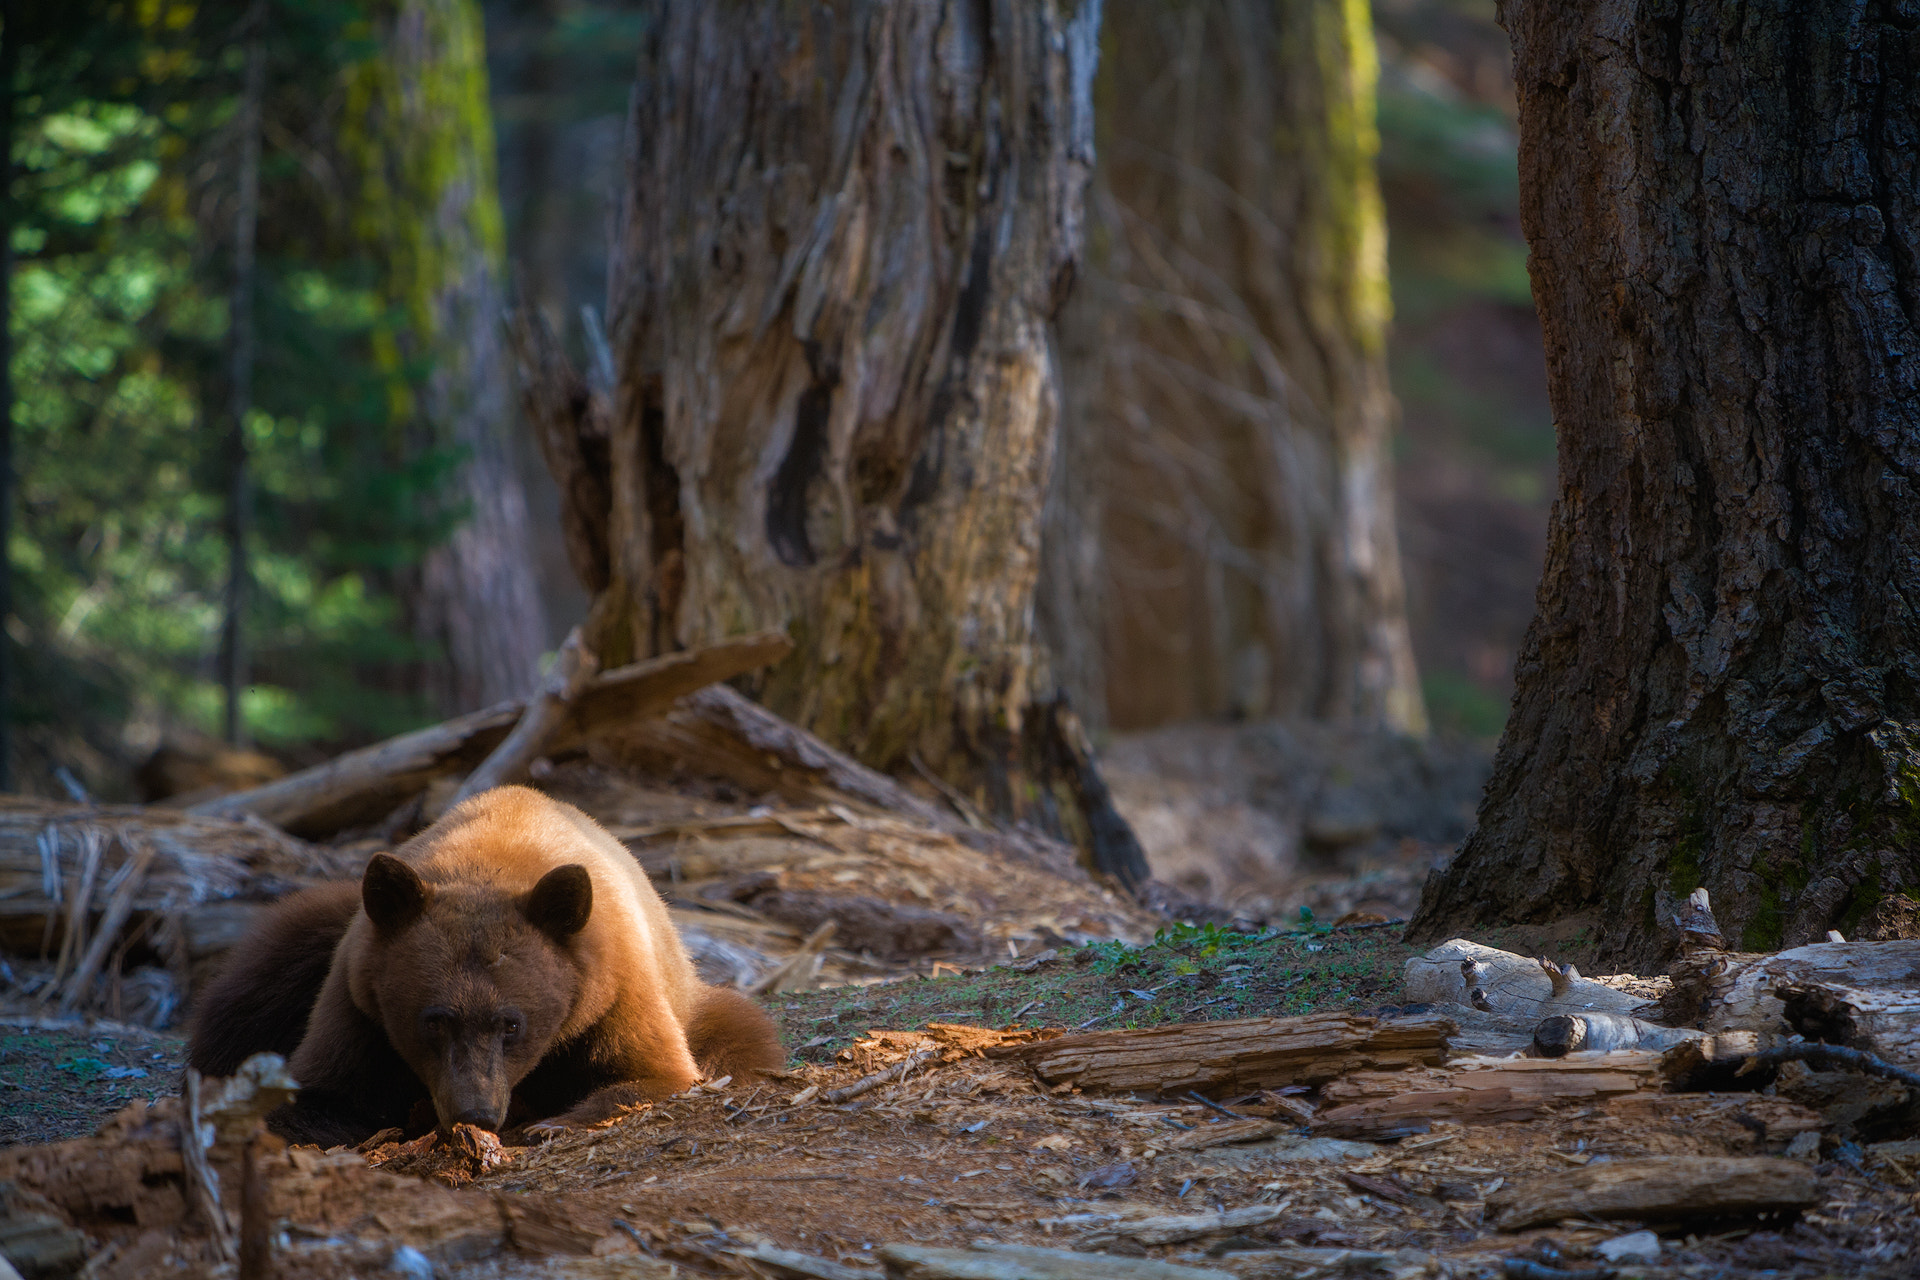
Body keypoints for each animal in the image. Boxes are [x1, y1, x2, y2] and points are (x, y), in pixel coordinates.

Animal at [181, 786, 779, 1143]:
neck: (491, 860)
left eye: (511, 1024)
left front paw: (549, 1121)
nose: (476, 1113)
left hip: (693, 998)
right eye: (434, 1020)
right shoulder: (358, 1001)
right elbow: (320, 1091)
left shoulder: (613, 988)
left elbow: (654, 1074)